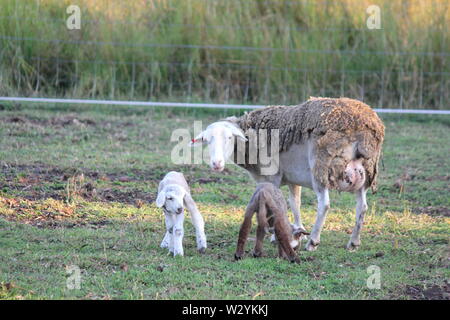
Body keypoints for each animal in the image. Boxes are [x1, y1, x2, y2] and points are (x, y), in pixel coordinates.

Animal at [192, 96, 384, 251]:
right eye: (207, 141)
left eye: (230, 138)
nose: (216, 164)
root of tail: (363, 125)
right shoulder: (293, 178)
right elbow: (295, 203)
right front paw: (298, 231)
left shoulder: (272, 177)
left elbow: (273, 203)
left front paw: (275, 235)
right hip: (365, 172)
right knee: (362, 206)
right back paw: (353, 242)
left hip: (320, 167)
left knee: (324, 204)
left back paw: (313, 242)